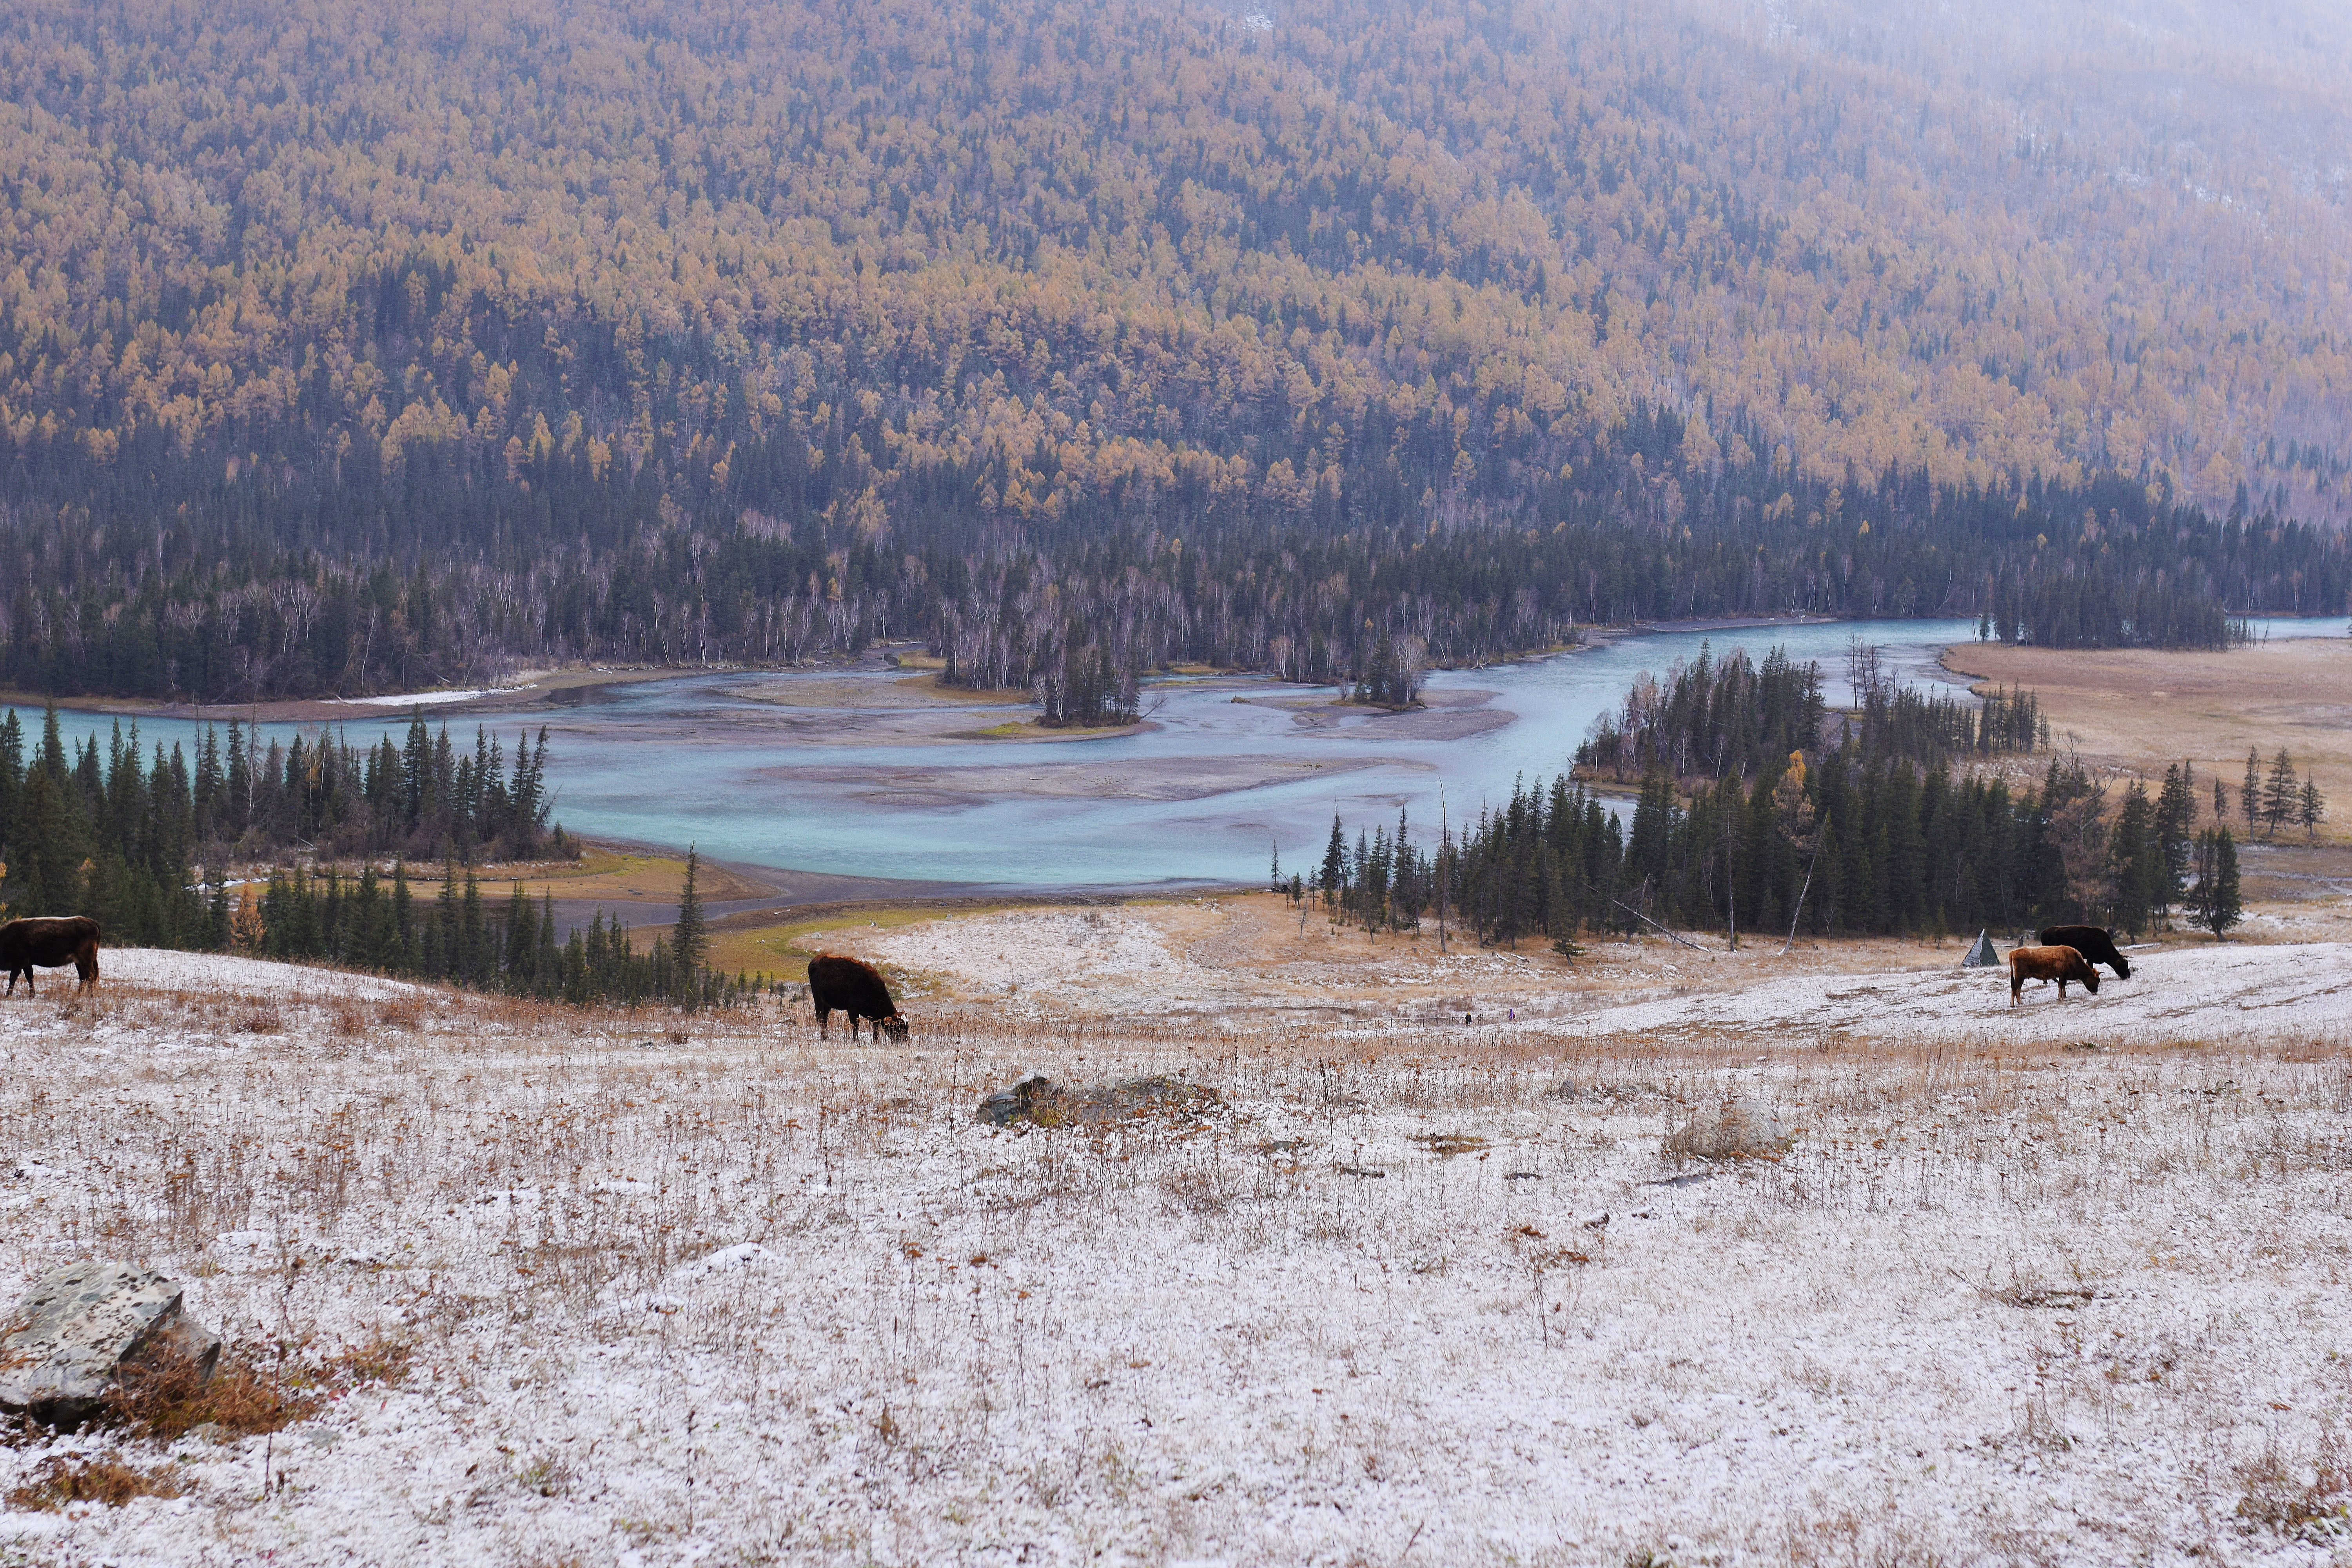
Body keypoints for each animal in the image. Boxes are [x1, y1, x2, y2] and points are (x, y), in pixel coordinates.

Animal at [0, 912, 103, 1001]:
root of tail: (93, 923)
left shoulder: (18, 963)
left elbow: (13, 978)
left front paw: (8, 995)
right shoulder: (26, 964)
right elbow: (30, 977)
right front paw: (32, 995)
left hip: (86, 960)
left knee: (91, 975)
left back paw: (90, 995)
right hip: (79, 962)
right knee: (83, 977)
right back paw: (79, 994)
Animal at [814, 959, 913, 1044]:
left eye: (907, 1025)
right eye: (897, 1026)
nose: (904, 1039)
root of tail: (815, 961)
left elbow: (875, 1026)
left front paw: (875, 1041)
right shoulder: (853, 1010)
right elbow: (855, 1024)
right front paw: (856, 1040)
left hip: (827, 1005)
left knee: (825, 1019)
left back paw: (825, 1037)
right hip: (819, 1001)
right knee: (821, 1018)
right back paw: (824, 1037)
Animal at [2013, 945, 2107, 1006]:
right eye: (2097, 981)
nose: (2096, 992)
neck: (2074, 960)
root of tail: (2013, 953)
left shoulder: (2064, 976)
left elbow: (2064, 986)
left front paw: (2064, 996)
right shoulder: (2062, 975)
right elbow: (2060, 986)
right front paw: (2060, 997)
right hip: (2020, 977)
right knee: (2015, 989)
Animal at [2042, 921, 2136, 982]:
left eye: (2127, 964)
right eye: (2122, 965)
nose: (2128, 976)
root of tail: (2044, 932)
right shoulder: (2091, 958)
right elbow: (2090, 967)